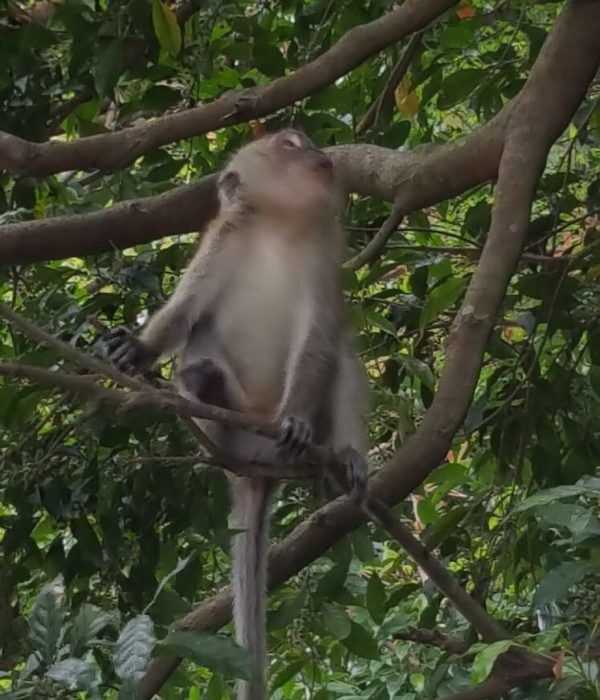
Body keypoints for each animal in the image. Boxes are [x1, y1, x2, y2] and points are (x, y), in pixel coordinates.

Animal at [107, 131, 368, 700]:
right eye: (290, 143)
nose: (318, 152)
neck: (278, 226)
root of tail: (253, 466)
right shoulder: (223, 242)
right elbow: (185, 313)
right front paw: (138, 348)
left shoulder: (323, 256)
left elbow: (319, 340)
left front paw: (298, 421)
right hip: (224, 431)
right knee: (201, 347)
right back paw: (210, 389)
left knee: (343, 351)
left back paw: (342, 456)